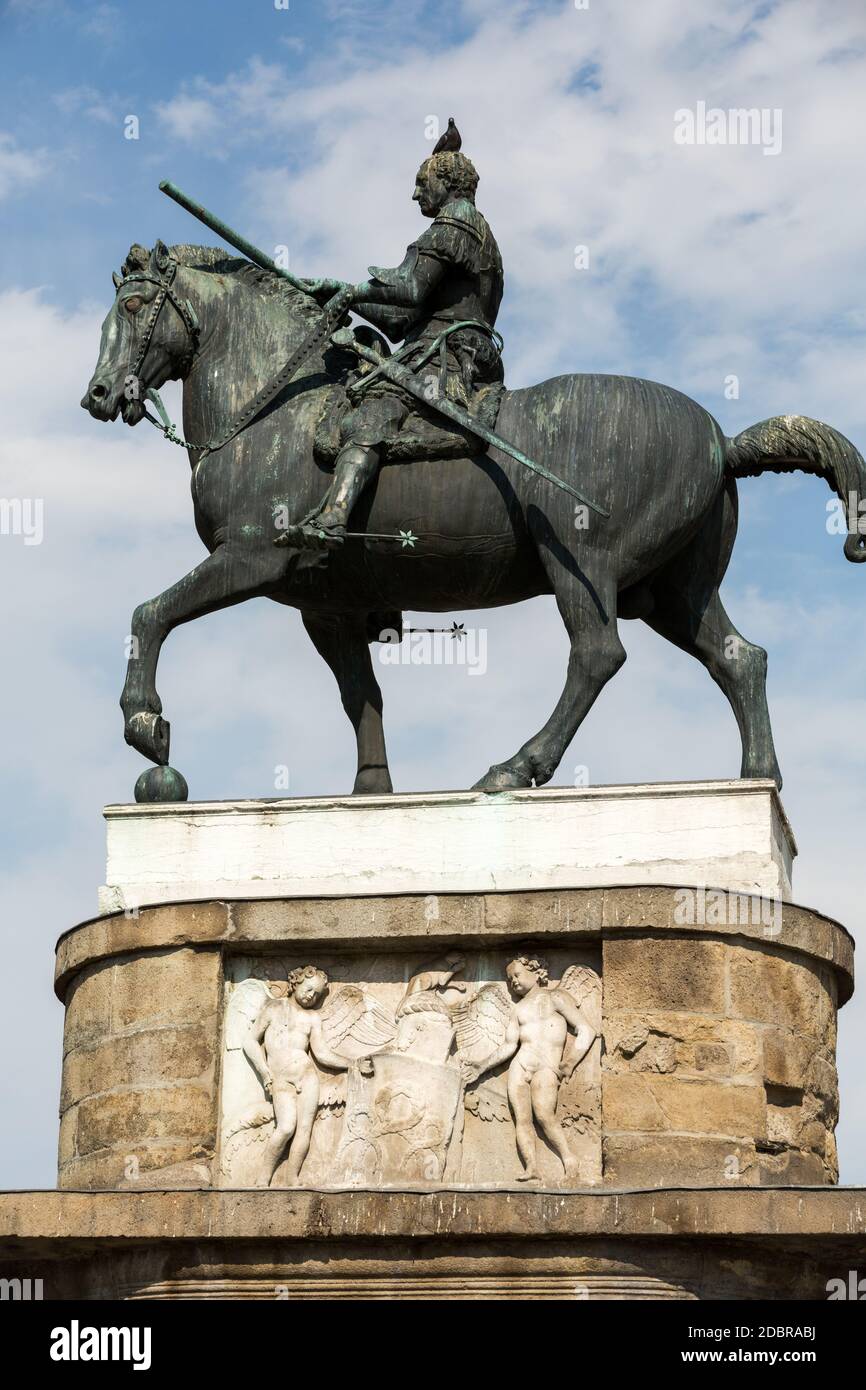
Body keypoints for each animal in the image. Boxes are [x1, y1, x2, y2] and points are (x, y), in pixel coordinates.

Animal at [81, 240, 866, 800]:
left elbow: (150, 614)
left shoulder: (252, 555)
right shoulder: (328, 607)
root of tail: (721, 439)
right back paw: (759, 781)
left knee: (598, 654)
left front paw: (145, 724)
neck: (275, 408)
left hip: (584, 561)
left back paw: (516, 768)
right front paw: (370, 792)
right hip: (675, 590)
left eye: (135, 306)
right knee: (740, 659)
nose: (98, 395)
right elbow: (361, 696)